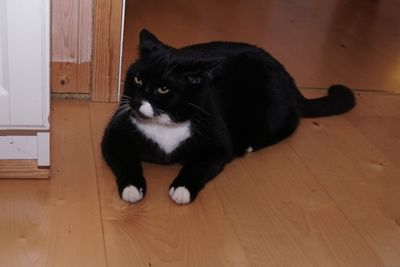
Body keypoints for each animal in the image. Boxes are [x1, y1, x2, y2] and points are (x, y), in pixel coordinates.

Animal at [101, 29, 354, 205]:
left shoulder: (218, 145)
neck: (163, 124)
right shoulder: (114, 137)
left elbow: (200, 165)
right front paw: (132, 187)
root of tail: (287, 76)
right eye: (137, 79)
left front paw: (182, 188)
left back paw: (251, 144)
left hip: (272, 110)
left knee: (290, 122)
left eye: (163, 89)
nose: (136, 101)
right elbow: (126, 160)